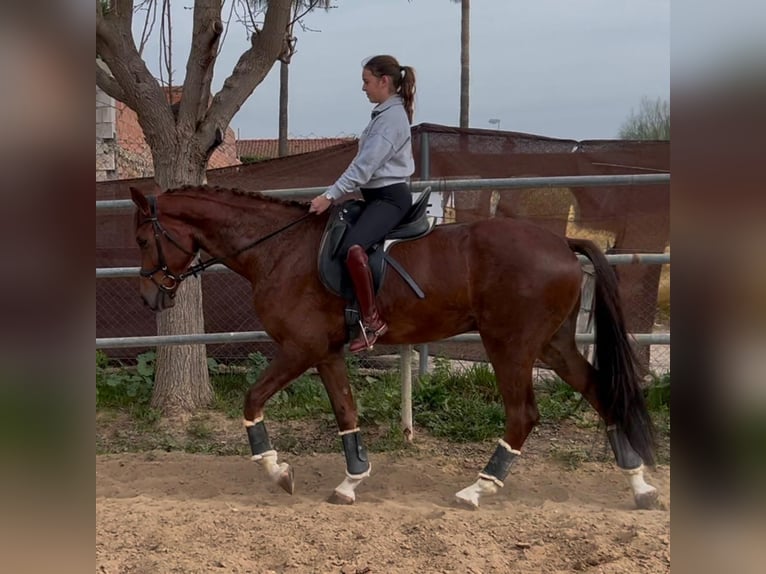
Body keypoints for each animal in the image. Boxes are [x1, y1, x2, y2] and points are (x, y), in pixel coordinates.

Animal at [130, 183, 660, 508]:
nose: (149, 296)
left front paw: (276, 470)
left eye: (140, 239)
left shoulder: (299, 348)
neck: (278, 250)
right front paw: (351, 480)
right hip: (553, 345)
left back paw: (477, 489)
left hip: (509, 345)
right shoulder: (326, 353)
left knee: (523, 414)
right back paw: (639, 486)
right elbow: (345, 412)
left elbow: (252, 398)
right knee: (601, 393)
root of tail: (561, 242)